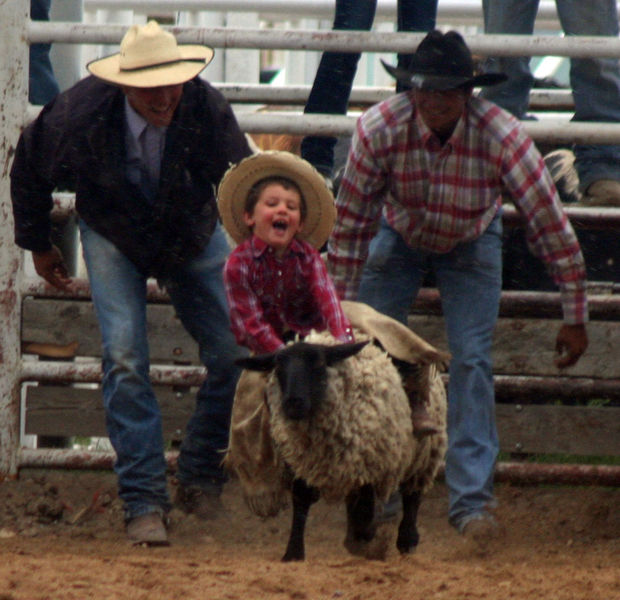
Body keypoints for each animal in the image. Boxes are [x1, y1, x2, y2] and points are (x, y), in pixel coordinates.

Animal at [230, 314, 448, 564]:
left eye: (318, 364)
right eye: (279, 369)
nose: (293, 403)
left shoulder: (371, 462)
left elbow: (366, 506)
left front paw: (367, 537)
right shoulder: (299, 461)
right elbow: (301, 502)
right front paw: (293, 553)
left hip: (425, 454)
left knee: (412, 495)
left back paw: (406, 540)